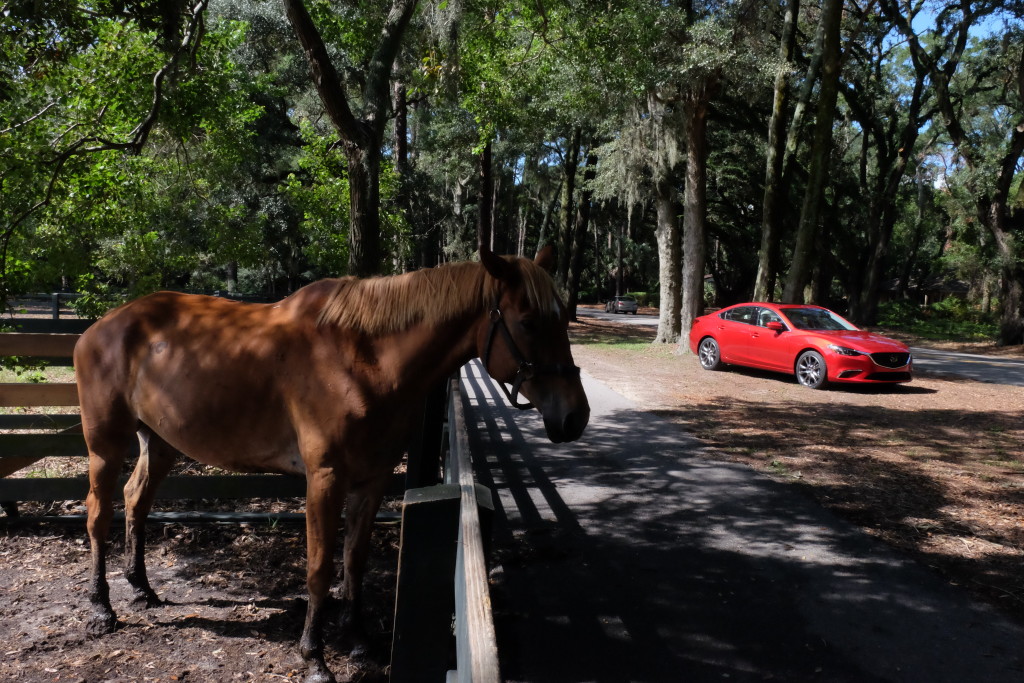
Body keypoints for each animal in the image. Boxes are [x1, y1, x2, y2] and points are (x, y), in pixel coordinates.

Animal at [75, 246, 589, 683]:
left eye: (563, 319)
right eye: (528, 322)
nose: (574, 416)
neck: (363, 358)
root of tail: (101, 328)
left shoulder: (373, 479)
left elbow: (354, 560)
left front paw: (357, 639)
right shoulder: (325, 479)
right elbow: (320, 567)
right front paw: (314, 657)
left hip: (159, 443)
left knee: (136, 501)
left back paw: (141, 589)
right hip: (105, 446)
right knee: (99, 515)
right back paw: (101, 608)